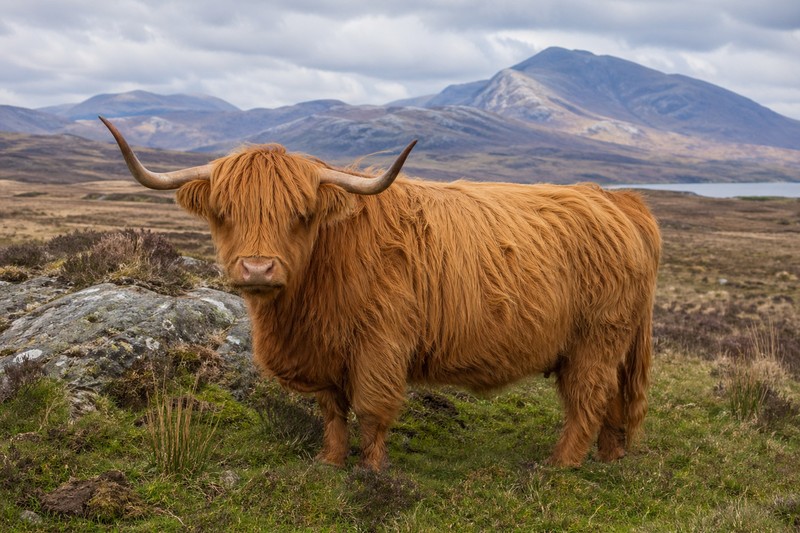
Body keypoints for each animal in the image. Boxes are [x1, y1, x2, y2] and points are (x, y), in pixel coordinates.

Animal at [100, 117, 661, 470]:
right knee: (614, 400)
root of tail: (616, 200)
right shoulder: (325, 352)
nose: (258, 268)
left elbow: (371, 410)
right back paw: (609, 457)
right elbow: (331, 411)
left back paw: (559, 465)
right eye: (223, 213)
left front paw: (371, 470)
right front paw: (329, 462)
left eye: (301, 214)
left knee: (588, 399)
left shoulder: (381, 344)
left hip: (596, 339)